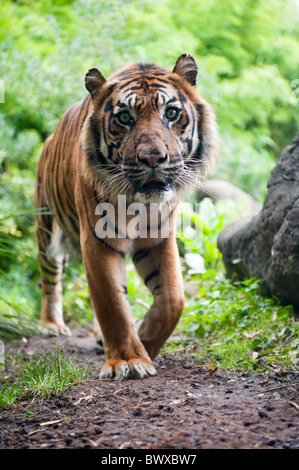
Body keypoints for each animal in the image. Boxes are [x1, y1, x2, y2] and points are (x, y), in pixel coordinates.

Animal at [35, 53, 218, 380]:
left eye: (172, 113)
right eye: (124, 118)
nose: (153, 158)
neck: (140, 207)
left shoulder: (159, 240)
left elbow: (173, 300)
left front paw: (145, 340)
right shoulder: (98, 241)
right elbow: (112, 303)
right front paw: (129, 361)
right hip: (46, 231)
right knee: (50, 279)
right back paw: (51, 326)